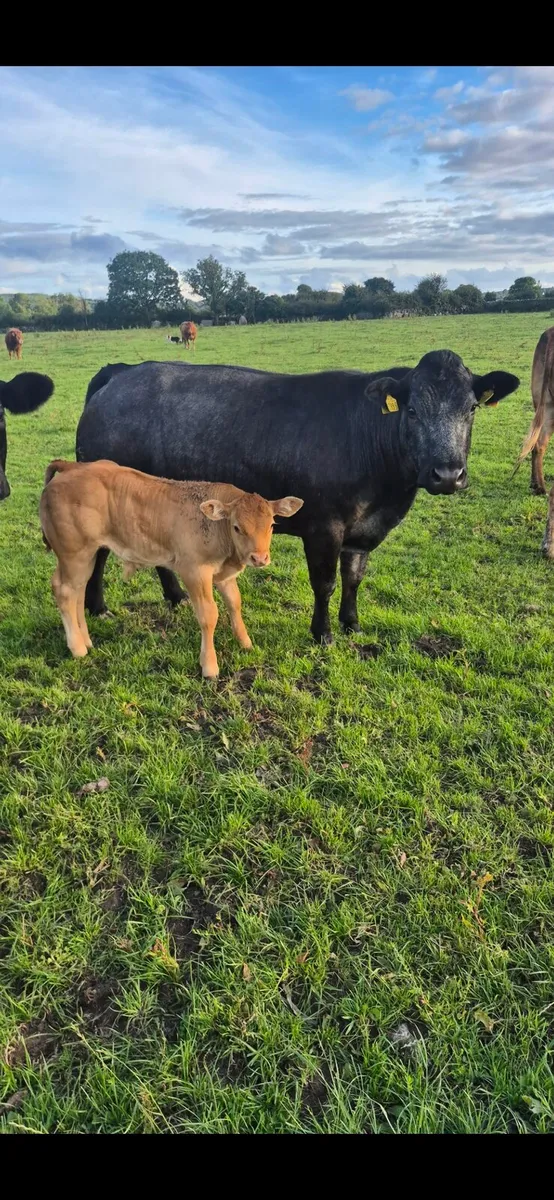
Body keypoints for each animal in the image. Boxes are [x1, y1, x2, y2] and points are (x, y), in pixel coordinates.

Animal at [40, 459, 303, 678]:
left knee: (78, 590)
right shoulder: (194, 571)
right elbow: (209, 614)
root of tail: (71, 466)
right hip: (75, 553)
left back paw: (85, 639)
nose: (259, 558)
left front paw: (245, 642)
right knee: (65, 591)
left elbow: (235, 604)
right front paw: (209, 666)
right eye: (237, 527)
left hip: (87, 556)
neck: (218, 530)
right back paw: (77, 647)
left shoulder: (224, 575)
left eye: (271, 525)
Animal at [76, 352, 519, 643]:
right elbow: (324, 582)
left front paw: (352, 624)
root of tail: (122, 372)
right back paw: (97, 606)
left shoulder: (362, 531)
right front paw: (322, 633)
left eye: (471, 409)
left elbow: (354, 577)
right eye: (411, 411)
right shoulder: (323, 526)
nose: (448, 475)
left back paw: (176, 597)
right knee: (99, 551)